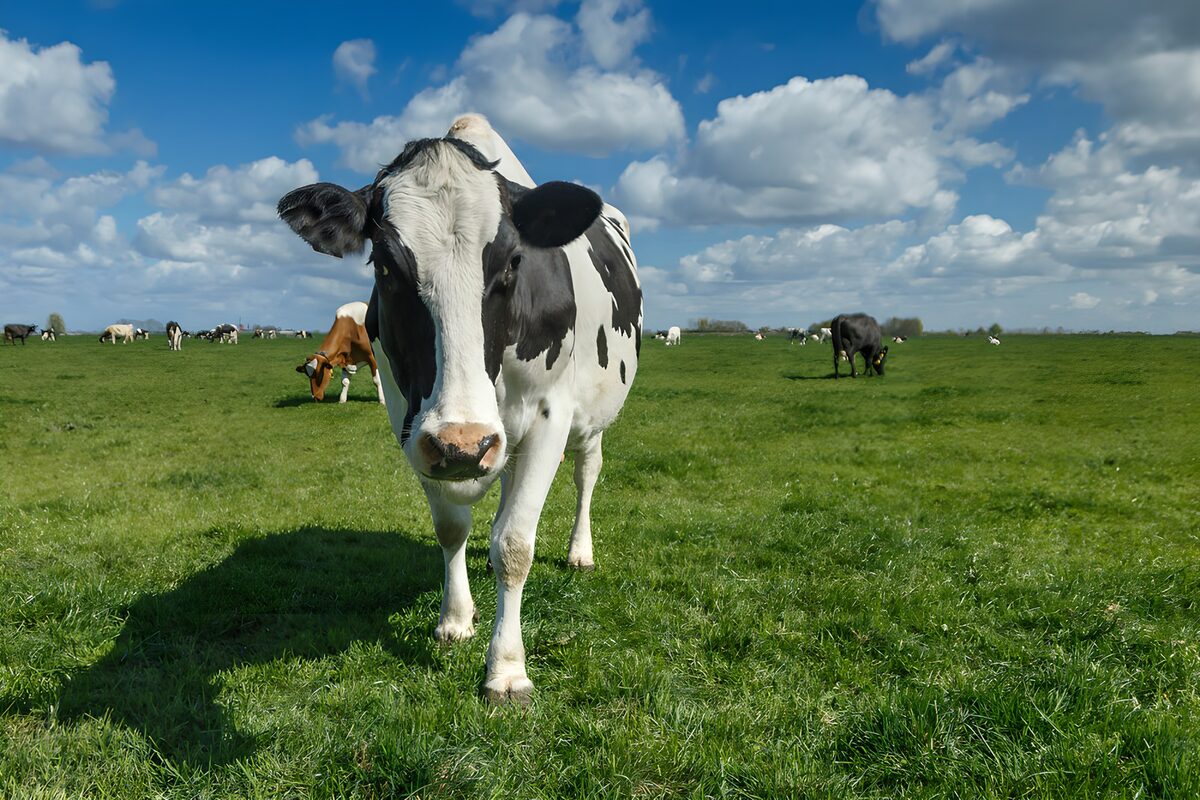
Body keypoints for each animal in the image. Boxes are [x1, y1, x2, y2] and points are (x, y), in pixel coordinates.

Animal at [278, 114, 642, 705]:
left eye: (514, 261)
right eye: (384, 265)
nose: (466, 445)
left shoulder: (549, 414)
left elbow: (514, 544)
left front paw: (507, 670)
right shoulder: (413, 427)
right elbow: (451, 528)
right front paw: (455, 619)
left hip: (591, 418)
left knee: (587, 473)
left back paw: (579, 551)